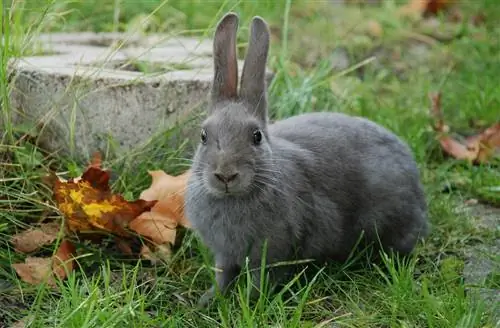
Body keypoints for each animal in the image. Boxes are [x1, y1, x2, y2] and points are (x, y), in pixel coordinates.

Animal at [185, 12, 430, 304]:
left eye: (256, 136)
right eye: (203, 136)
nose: (225, 175)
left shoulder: (271, 252)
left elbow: (260, 280)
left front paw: (250, 301)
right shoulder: (224, 253)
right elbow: (223, 275)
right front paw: (208, 300)